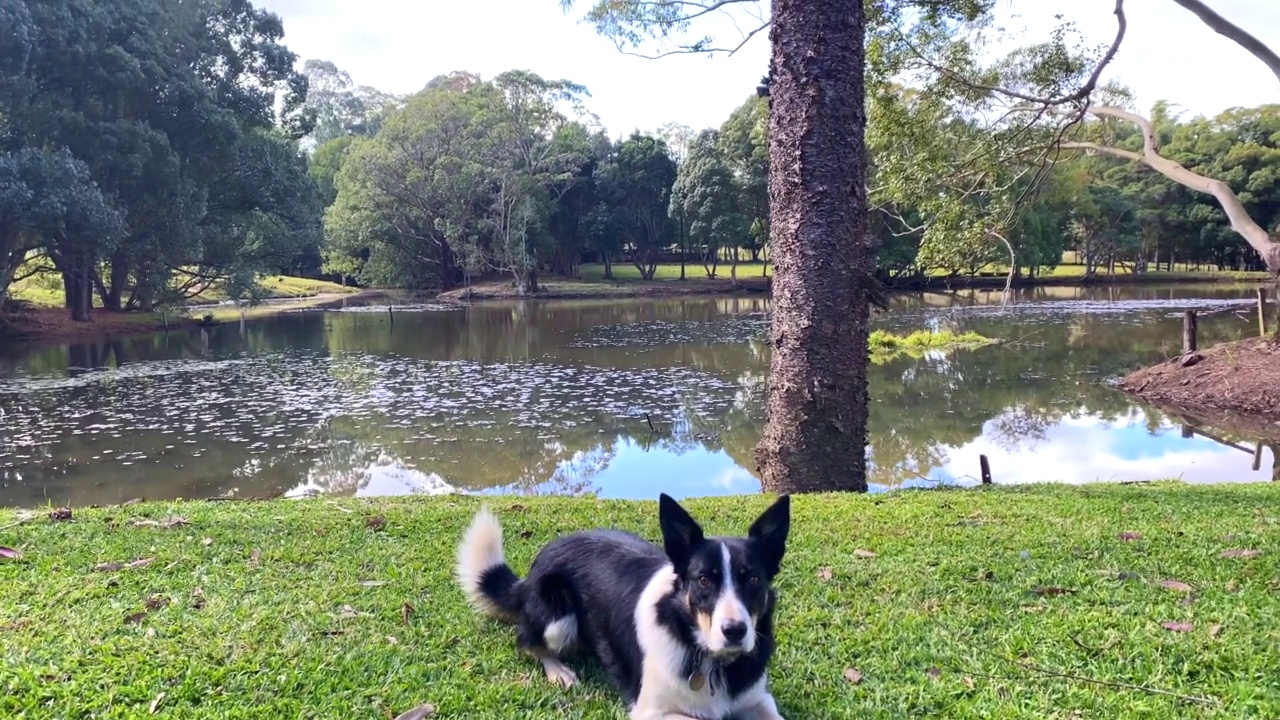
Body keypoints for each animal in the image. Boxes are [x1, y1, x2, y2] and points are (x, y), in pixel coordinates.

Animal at [455, 489, 783, 717]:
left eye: (753, 580)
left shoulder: (760, 700)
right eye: (703, 580)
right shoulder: (650, 711)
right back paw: (559, 671)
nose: (735, 631)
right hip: (557, 619)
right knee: (527, 643)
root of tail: (534, 569)